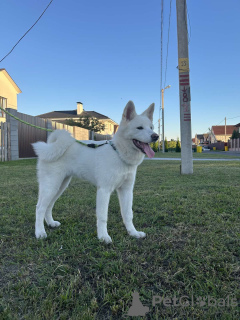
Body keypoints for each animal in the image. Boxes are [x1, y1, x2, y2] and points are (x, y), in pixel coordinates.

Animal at [32, 101, 158, 244]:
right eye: (139, 128)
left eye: (151, 127)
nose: (156, 136)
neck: (119, 153)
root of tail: (50, 146)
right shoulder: (104, 190)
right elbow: (103, 217)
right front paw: (103, 237)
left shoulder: (126, 190)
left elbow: (128, 214)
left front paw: (133, 233)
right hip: (51, 186)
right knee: (39, 208)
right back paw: (40, 232)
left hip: (60, 186)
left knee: (48, 206)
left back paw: (51, 223)